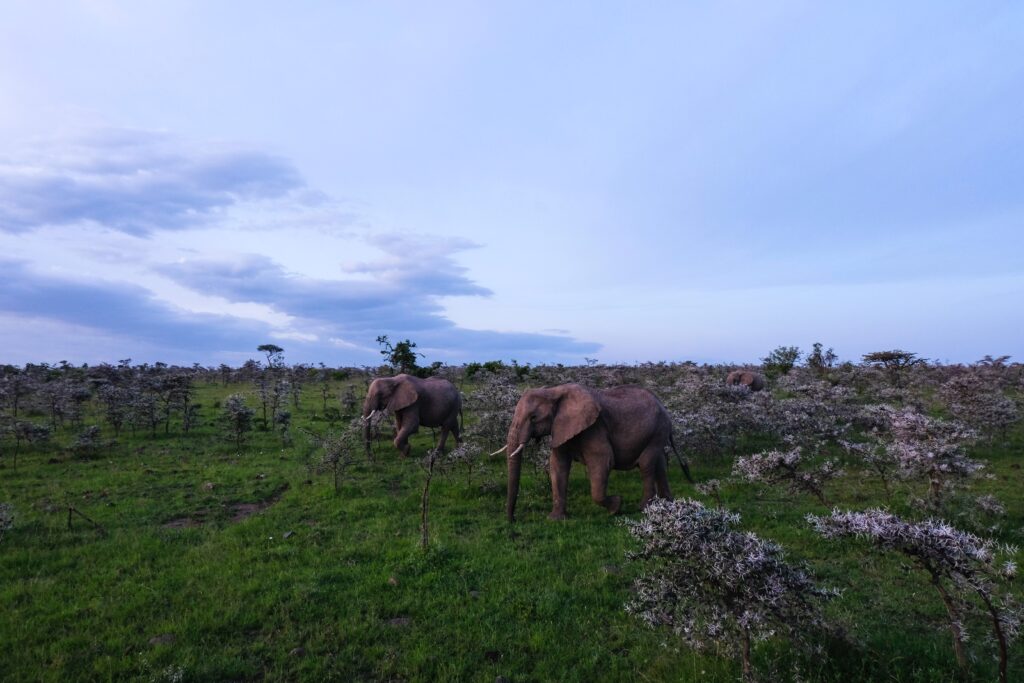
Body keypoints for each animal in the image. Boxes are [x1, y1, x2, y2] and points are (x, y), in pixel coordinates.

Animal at [497, 382, 692, 520]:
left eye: (533, 417)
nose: (513, 520)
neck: (554, 391)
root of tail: (663, 406)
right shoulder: (561, 428)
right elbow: (558, 466)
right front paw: (555, 519)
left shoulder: (595, 428)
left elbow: (603, 461)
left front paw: (616, 507)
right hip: (657, 433)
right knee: (659, 464)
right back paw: (668, 503)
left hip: (657, 430)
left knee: (646, 464)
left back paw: (644, 507)